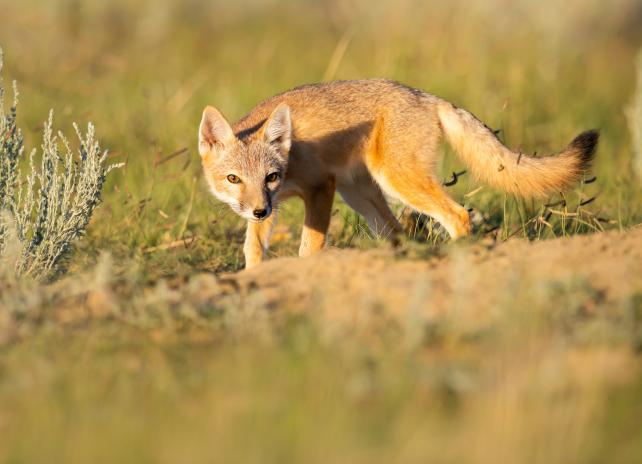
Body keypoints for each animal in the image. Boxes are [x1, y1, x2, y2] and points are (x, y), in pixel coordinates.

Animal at [198, 79, 598, 269]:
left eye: (271, 176)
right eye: (234, 179)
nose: (258, 210)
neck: (291, 154)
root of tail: (426, 96)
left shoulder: (319, 187)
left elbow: (308, 247)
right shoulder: (275, 205)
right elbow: (253, 247)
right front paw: (254, 276)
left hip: (398, 182)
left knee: (457, 215)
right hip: (362, 196)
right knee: (400, 234)